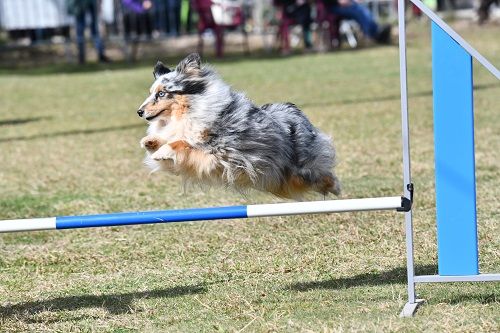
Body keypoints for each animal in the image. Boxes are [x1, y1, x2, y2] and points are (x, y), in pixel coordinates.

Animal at [137, 53, 340, 198]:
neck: (189, 111)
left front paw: (163, 150)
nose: (139, 111)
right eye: (151, 93)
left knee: (320, 173)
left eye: (161, 93)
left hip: (300, 169)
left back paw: (336, 186)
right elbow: (170, 143)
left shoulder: (219, 152)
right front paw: (151, 142)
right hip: (280, 180)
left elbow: (181, 143)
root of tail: (293, 109)